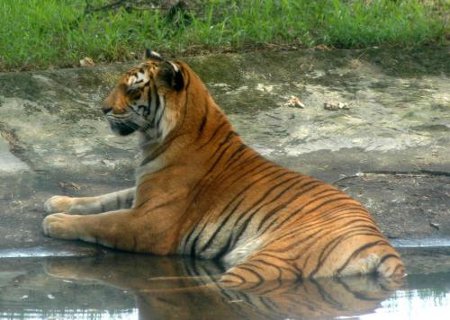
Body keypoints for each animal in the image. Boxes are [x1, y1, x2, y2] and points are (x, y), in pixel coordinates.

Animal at [43, 49, 404, 284]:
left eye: (131, 90)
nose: (102, 109)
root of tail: (380, 242)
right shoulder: (143, 192)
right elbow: (104, 199)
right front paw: (57, 202)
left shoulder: (151, 221)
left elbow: (103, 221)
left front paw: (55, 222)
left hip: (272, 259)